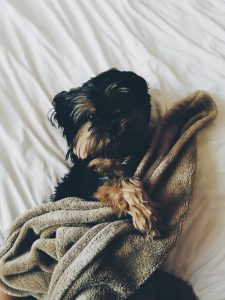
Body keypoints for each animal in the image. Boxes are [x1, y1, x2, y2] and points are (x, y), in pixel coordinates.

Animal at [49, 69, 158, 236]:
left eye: (119, 103)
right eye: (91, 117)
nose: (110, 126)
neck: (115, 153)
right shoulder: (87, 182)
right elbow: (122, 182)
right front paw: (145, 214)